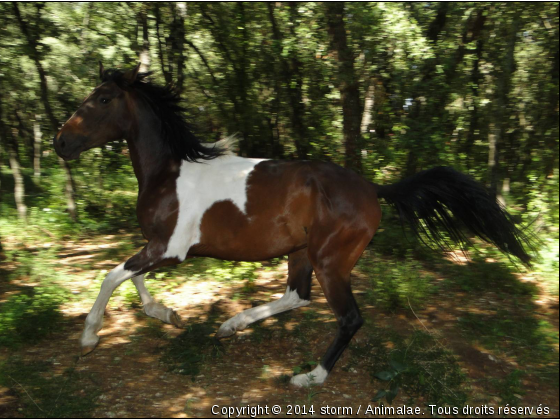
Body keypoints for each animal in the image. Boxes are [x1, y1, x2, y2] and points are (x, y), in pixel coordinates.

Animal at [53, 62, 532, 388]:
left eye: (102, 98)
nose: (60, 142)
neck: (168, 173)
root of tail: (372, 188)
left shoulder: (169, 249)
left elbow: (112, 275)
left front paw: (89, 337)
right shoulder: (158, 248)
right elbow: (131, 278)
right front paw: (167, 314)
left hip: (329, 261)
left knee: (348, 318)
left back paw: (309, 376)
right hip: (302, 252)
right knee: (297, 296)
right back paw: (232, 325)